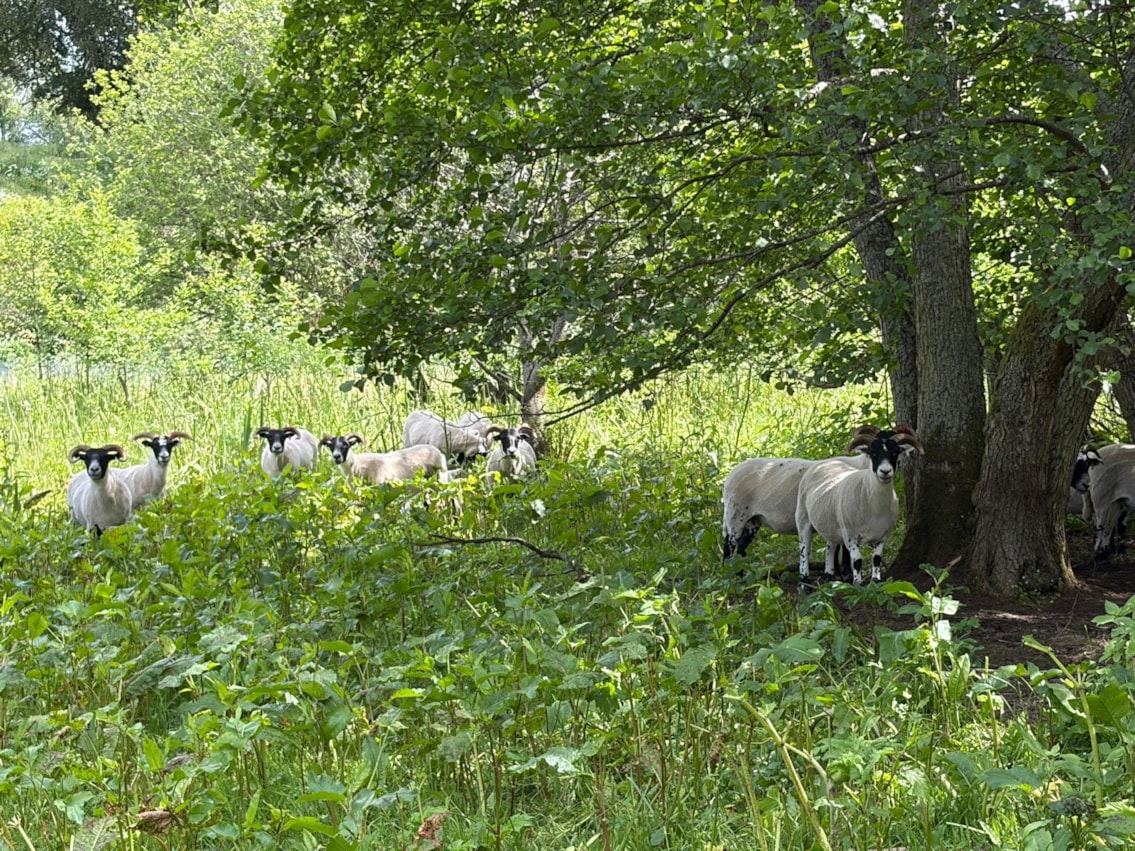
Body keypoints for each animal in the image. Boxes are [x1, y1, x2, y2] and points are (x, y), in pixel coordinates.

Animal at [320, 433, 448, 483]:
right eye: (331, 446)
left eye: (346, 445)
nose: (336, 456)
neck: (357, 465)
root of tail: (439, 453)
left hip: (440, 477)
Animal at [795, 425, 924, 584]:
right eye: (873, 453)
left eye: (895, 452)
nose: (885, 471)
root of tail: (822, 463)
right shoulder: (850, 535)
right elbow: (857, 561)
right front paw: (857, 583)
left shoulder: (882, 536)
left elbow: (876, 559)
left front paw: (875, 581)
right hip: (803, 518)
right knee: (804, 549)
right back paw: (804, 579)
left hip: (830, 523)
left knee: (830, 546)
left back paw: (829, 575)